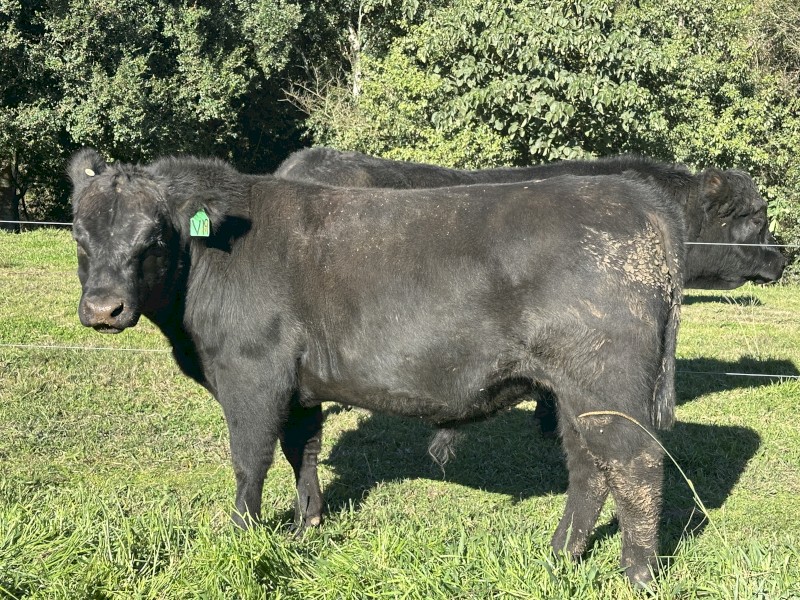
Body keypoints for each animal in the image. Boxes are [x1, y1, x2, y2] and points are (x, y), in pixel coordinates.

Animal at [69, 147, 684, 586]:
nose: (103, 308)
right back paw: (557, 557)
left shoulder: (252, 374)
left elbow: (250, 462)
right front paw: (306, 528)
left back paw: (637, 575)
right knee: (588, 469)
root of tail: (633, 195)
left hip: (606, 387)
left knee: (636, 465)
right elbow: (302, 451)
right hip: (573, 394)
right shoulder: (300, 384)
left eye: (153, 236)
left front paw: (242, 538)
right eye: (78, 233)